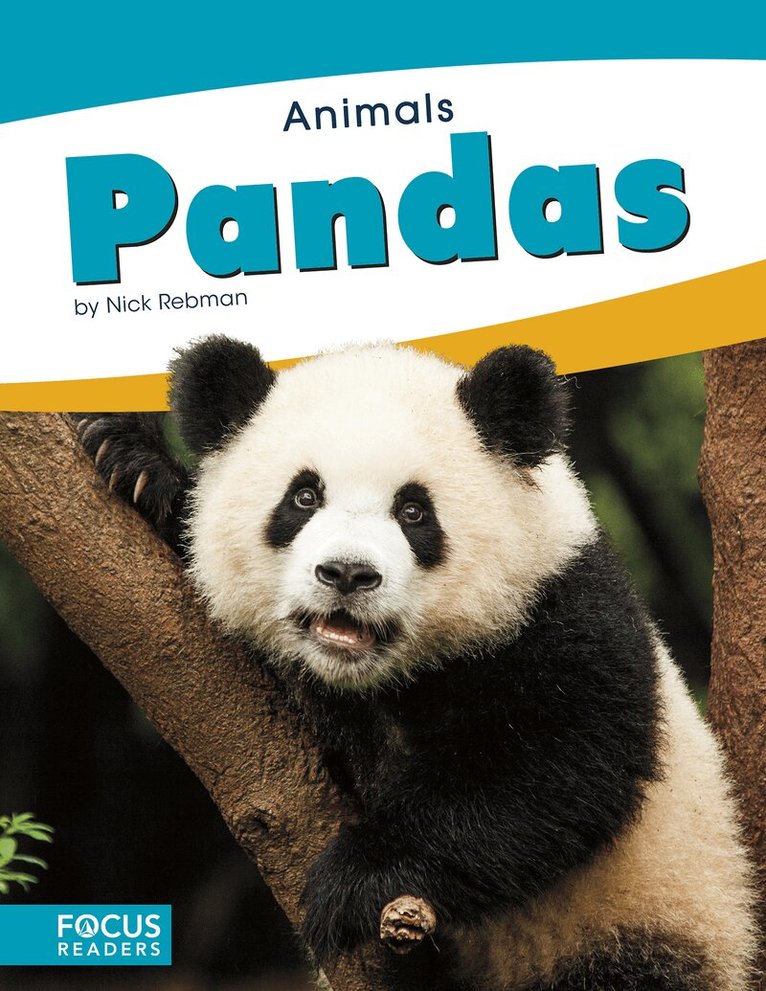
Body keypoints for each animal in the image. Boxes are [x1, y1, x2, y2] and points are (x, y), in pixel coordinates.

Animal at [77, 335, 757, 990]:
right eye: (303, 497)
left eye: (413, 511)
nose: (347, 574)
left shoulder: (562, 612)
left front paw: (353, 881)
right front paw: (135, 464)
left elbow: (560, 768)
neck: (377, 679)